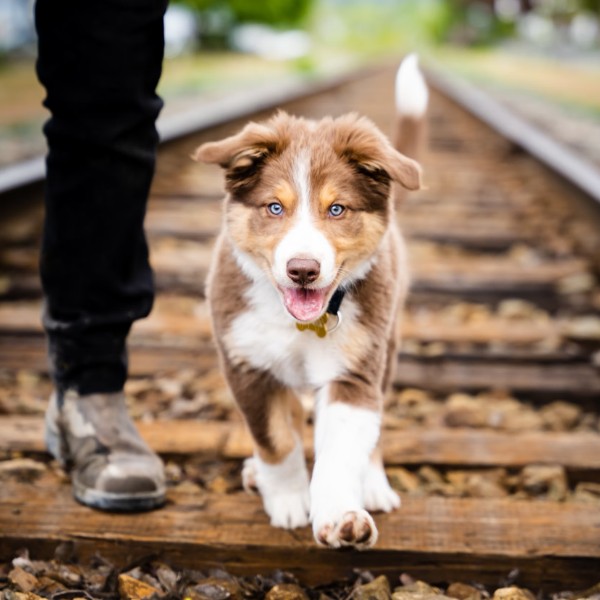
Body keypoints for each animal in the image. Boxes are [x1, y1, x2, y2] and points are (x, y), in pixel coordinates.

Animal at [192, 56, 426, 548]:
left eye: (337, 209)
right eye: (274, 208)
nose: (303, 270)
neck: (300, 322)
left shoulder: (354, 372)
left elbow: (339, 452)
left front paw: (341, 516)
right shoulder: (248, 365)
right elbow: (276, 440)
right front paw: (286, 500)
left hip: (388, 343)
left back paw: (374, 485)